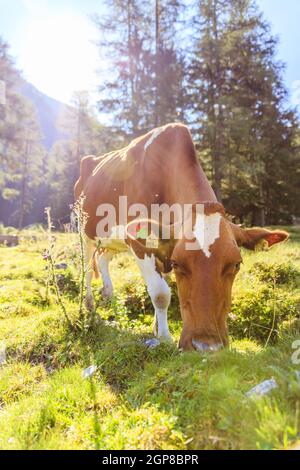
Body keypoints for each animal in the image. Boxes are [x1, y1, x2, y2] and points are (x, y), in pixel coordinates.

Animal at [74, 123, 288, 350]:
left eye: (237, 264)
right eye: (178, 263)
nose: (206, 346)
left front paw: (156, 328)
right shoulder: (139, 241)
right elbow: (160, 293)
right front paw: (165, 338)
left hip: (113, 239)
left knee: (103, 258)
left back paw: (108, 293)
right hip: (84, 232)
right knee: (88, 268)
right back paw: (89, 307)